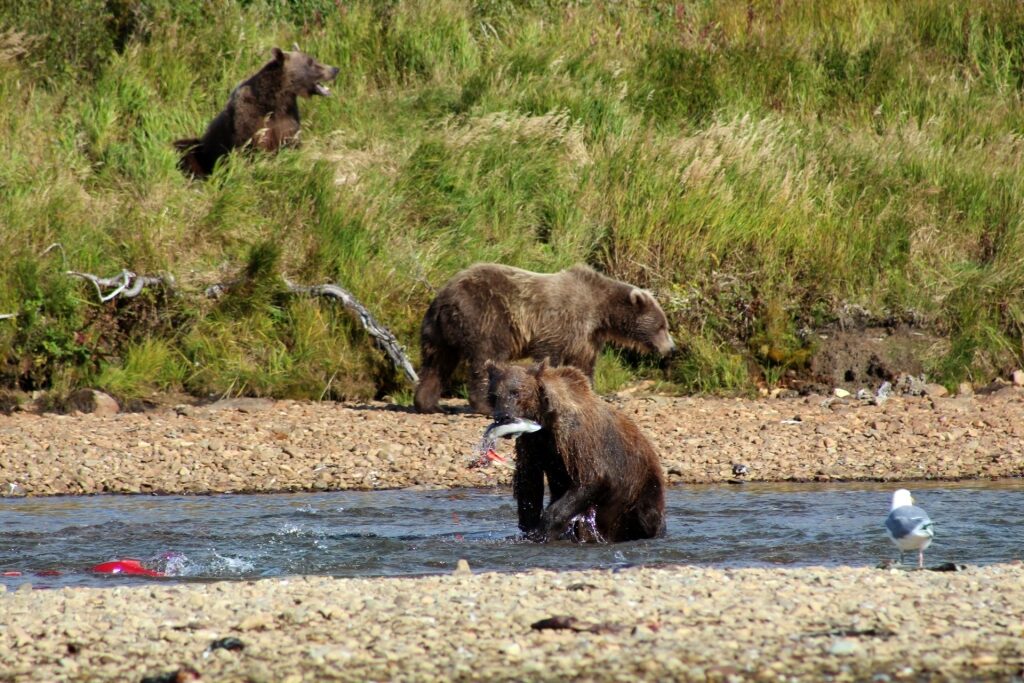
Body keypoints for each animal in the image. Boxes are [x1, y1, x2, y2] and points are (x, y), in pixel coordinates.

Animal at [174, 46, 337, 178]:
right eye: (311, 62)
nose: (335, 69)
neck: (274, 102)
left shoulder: (288, 118)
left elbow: (291, 142)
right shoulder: (249, 120)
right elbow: (250, 147)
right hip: (205, 149)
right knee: (185, 147)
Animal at [411, 262, 675, 413]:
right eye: (662, 326)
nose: (671, 348)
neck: (600, 311)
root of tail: (445, 297)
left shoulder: (587, 336)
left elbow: (584, 364)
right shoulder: (560, 321)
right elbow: (550, 355)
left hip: (436, 330)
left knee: (436, 363)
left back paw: (429, 404)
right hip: (485, 315)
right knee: (486, 357)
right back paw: (484, 405)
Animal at [485, 360, 667, 540]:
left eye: (516, 392)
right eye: (494, 395)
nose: (503, 416)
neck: (545, 419)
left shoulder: (577, 438)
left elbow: (591, 478)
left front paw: (542, 531)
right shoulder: (533, 443)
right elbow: (529, 482)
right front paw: (530, 529)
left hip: (641, 485)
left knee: (646, 516)